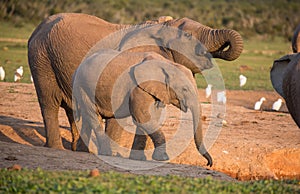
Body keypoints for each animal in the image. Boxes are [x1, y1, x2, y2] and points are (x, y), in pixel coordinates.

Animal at [28, 12, 244, 152]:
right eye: (189, 36)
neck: (161, 27)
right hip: (42, 59)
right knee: (49, 102)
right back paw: (57, 148)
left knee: (74, 109)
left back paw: (80, 150)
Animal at [72, 49, 213, 166]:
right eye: (184, 89)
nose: (209, 163)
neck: (167, 64)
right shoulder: (138, 87)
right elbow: (142, 116)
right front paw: (163, 158)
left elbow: (150, 117)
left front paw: (139, 159)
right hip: (82, 86)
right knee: (92, 115)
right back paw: (106, 153)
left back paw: (85, 151)